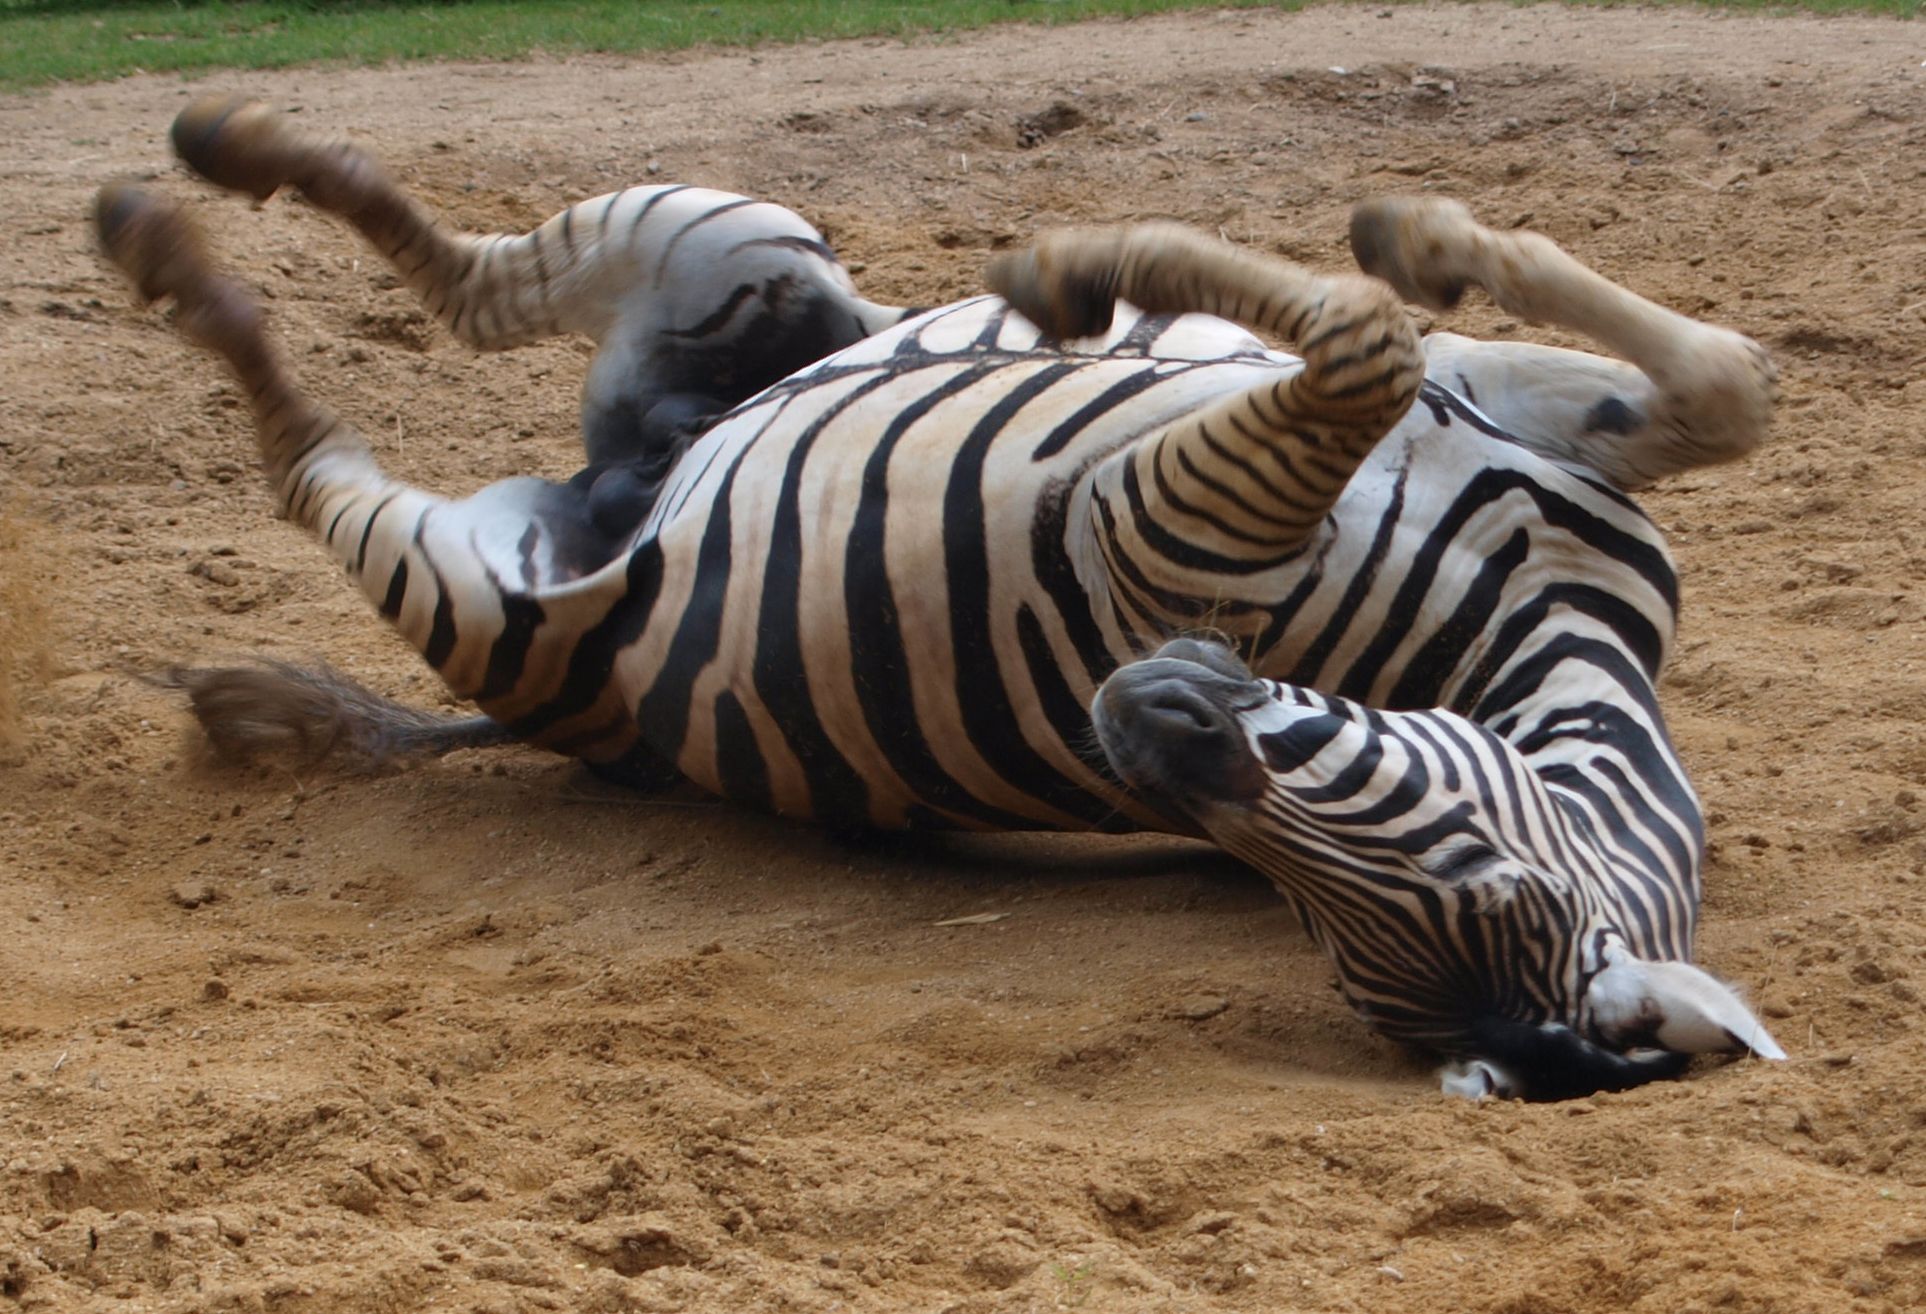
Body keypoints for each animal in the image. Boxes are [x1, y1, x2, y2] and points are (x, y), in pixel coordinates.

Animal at [95, 98, 1783, 1099]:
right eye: (1497, 888)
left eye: (1322, 925)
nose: (1132, 714)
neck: (1533, 629)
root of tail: (622, 477)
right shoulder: (1485, 418)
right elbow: (1703, 379)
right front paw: (1309, 246)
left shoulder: (1137, 527)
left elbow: (1372, 344)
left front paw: (1093, 267)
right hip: (740, 242)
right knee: (470, 275)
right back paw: (209, 157)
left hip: (481, 573)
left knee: (328, 420)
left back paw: (171, 241)